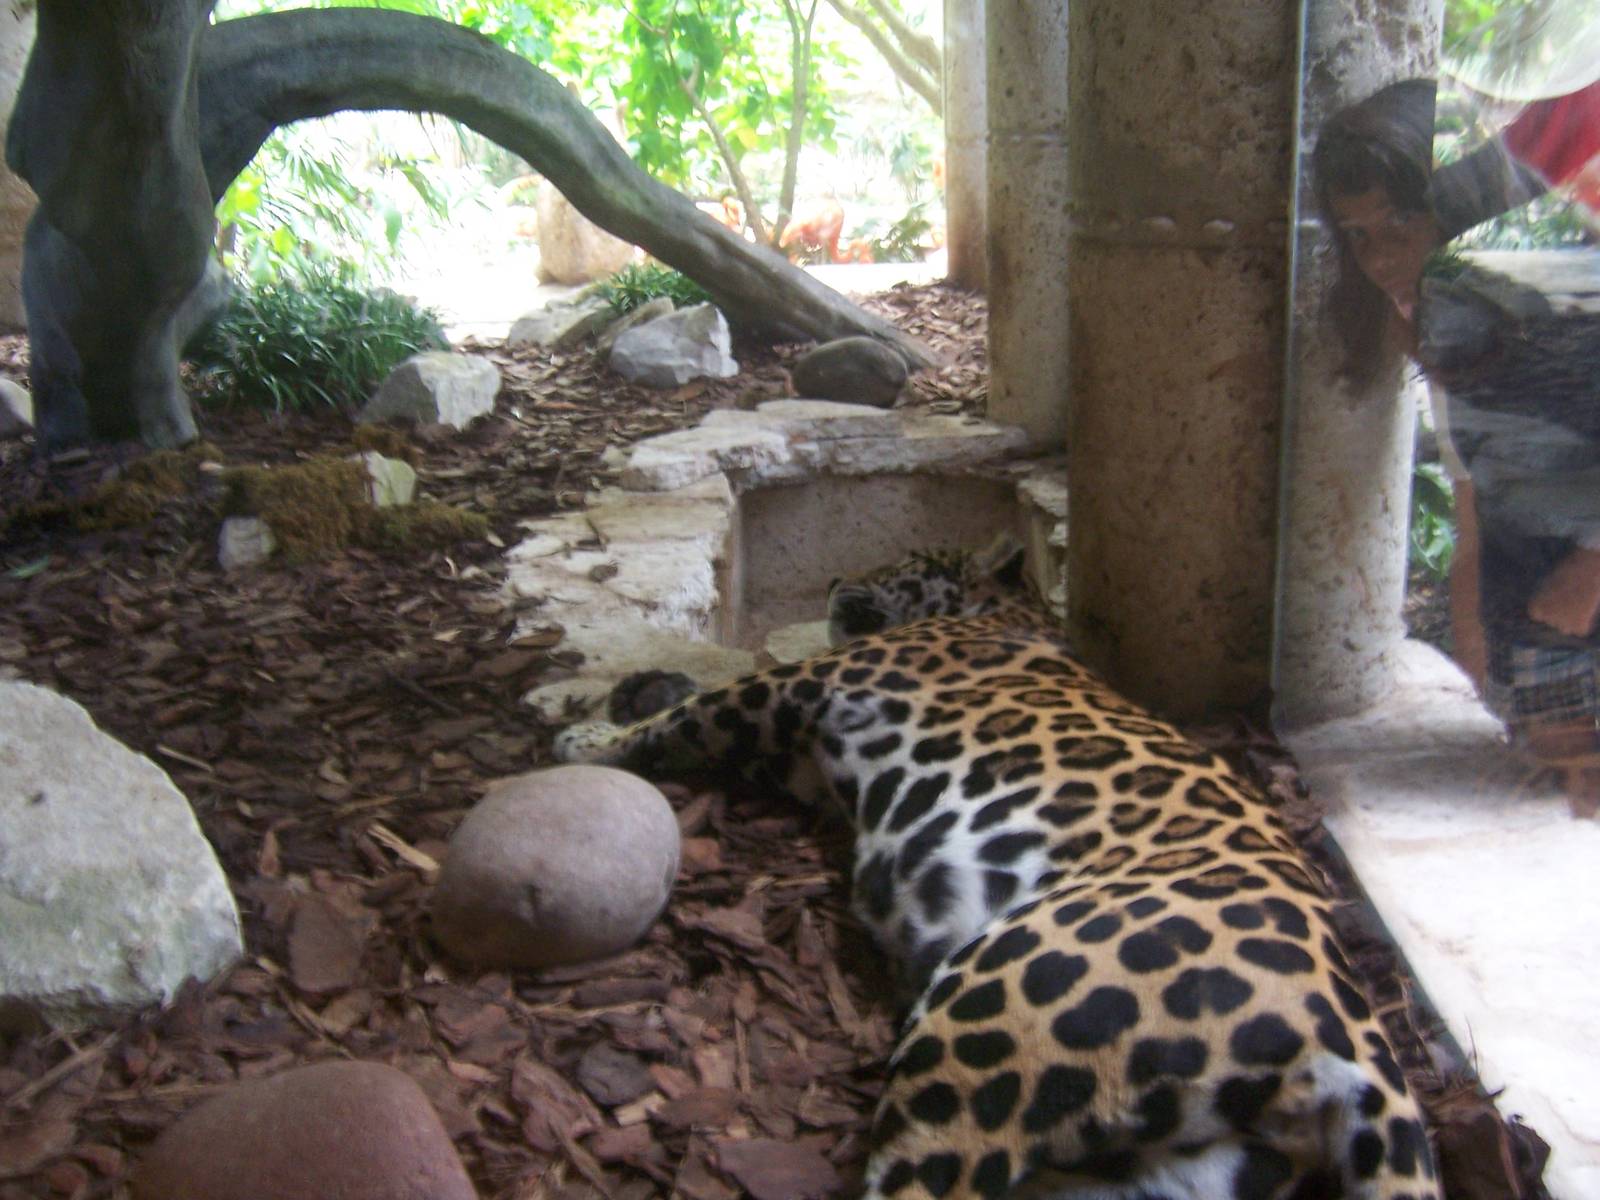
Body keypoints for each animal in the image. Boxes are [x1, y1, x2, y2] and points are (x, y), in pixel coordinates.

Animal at [554, 537, 1440, 1200]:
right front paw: (634, 695)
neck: (1013, 613)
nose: (837, 580)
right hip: (1162, 1173)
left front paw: (588, 738)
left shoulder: (803, 684)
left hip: (993, 1025)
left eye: (901, 561)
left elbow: (690, 716)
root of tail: (1354, 1038)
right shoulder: (804, 754)